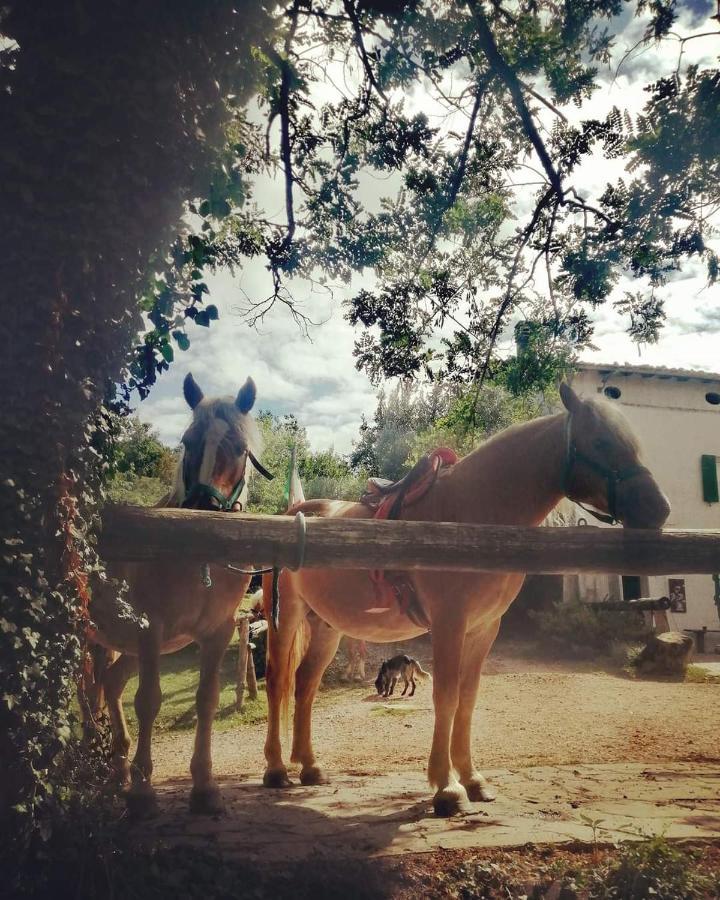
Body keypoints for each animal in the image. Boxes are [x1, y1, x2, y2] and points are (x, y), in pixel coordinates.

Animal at [91, 372, 268, 816]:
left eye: (239, 449)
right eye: (188, 442)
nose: (200, 510)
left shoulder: (217, 634)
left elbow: (206, 699)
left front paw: (204, 787)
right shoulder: (150, 630)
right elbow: (148, 701)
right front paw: (143, 793)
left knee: (110, 685)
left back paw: (117, 768)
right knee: (95, 690)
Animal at [262, 384, 668, 820]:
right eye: (600, 441)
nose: (659, 508)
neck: (472, 516)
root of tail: (295, 510)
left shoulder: (483, 629)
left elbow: (468, 700)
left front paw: (473, 779)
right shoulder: (449, 624)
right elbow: (446, 696)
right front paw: (446, 787)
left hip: (326, 628)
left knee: (305, 685)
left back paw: (310, 766)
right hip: (285, 621)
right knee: (278, 683)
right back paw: (276, 769)